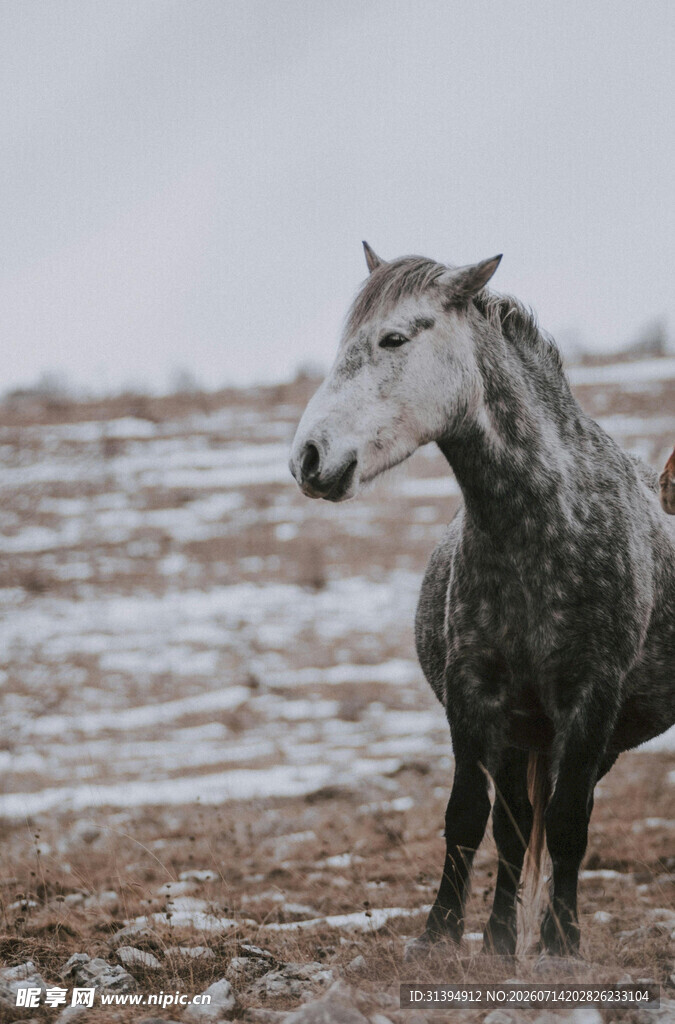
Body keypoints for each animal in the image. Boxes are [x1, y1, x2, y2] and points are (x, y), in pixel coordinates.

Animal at [289, 243, 675, 958]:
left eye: (393, 338)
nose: (308, 457)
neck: (540, 528)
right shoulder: (473, 698)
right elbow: (469, 817)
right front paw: (439, 935)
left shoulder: (590, 701)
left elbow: (569, 825)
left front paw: (560, 947)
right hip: (521, 735)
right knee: (515, 822)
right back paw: (497, 938)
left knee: (553, 818)